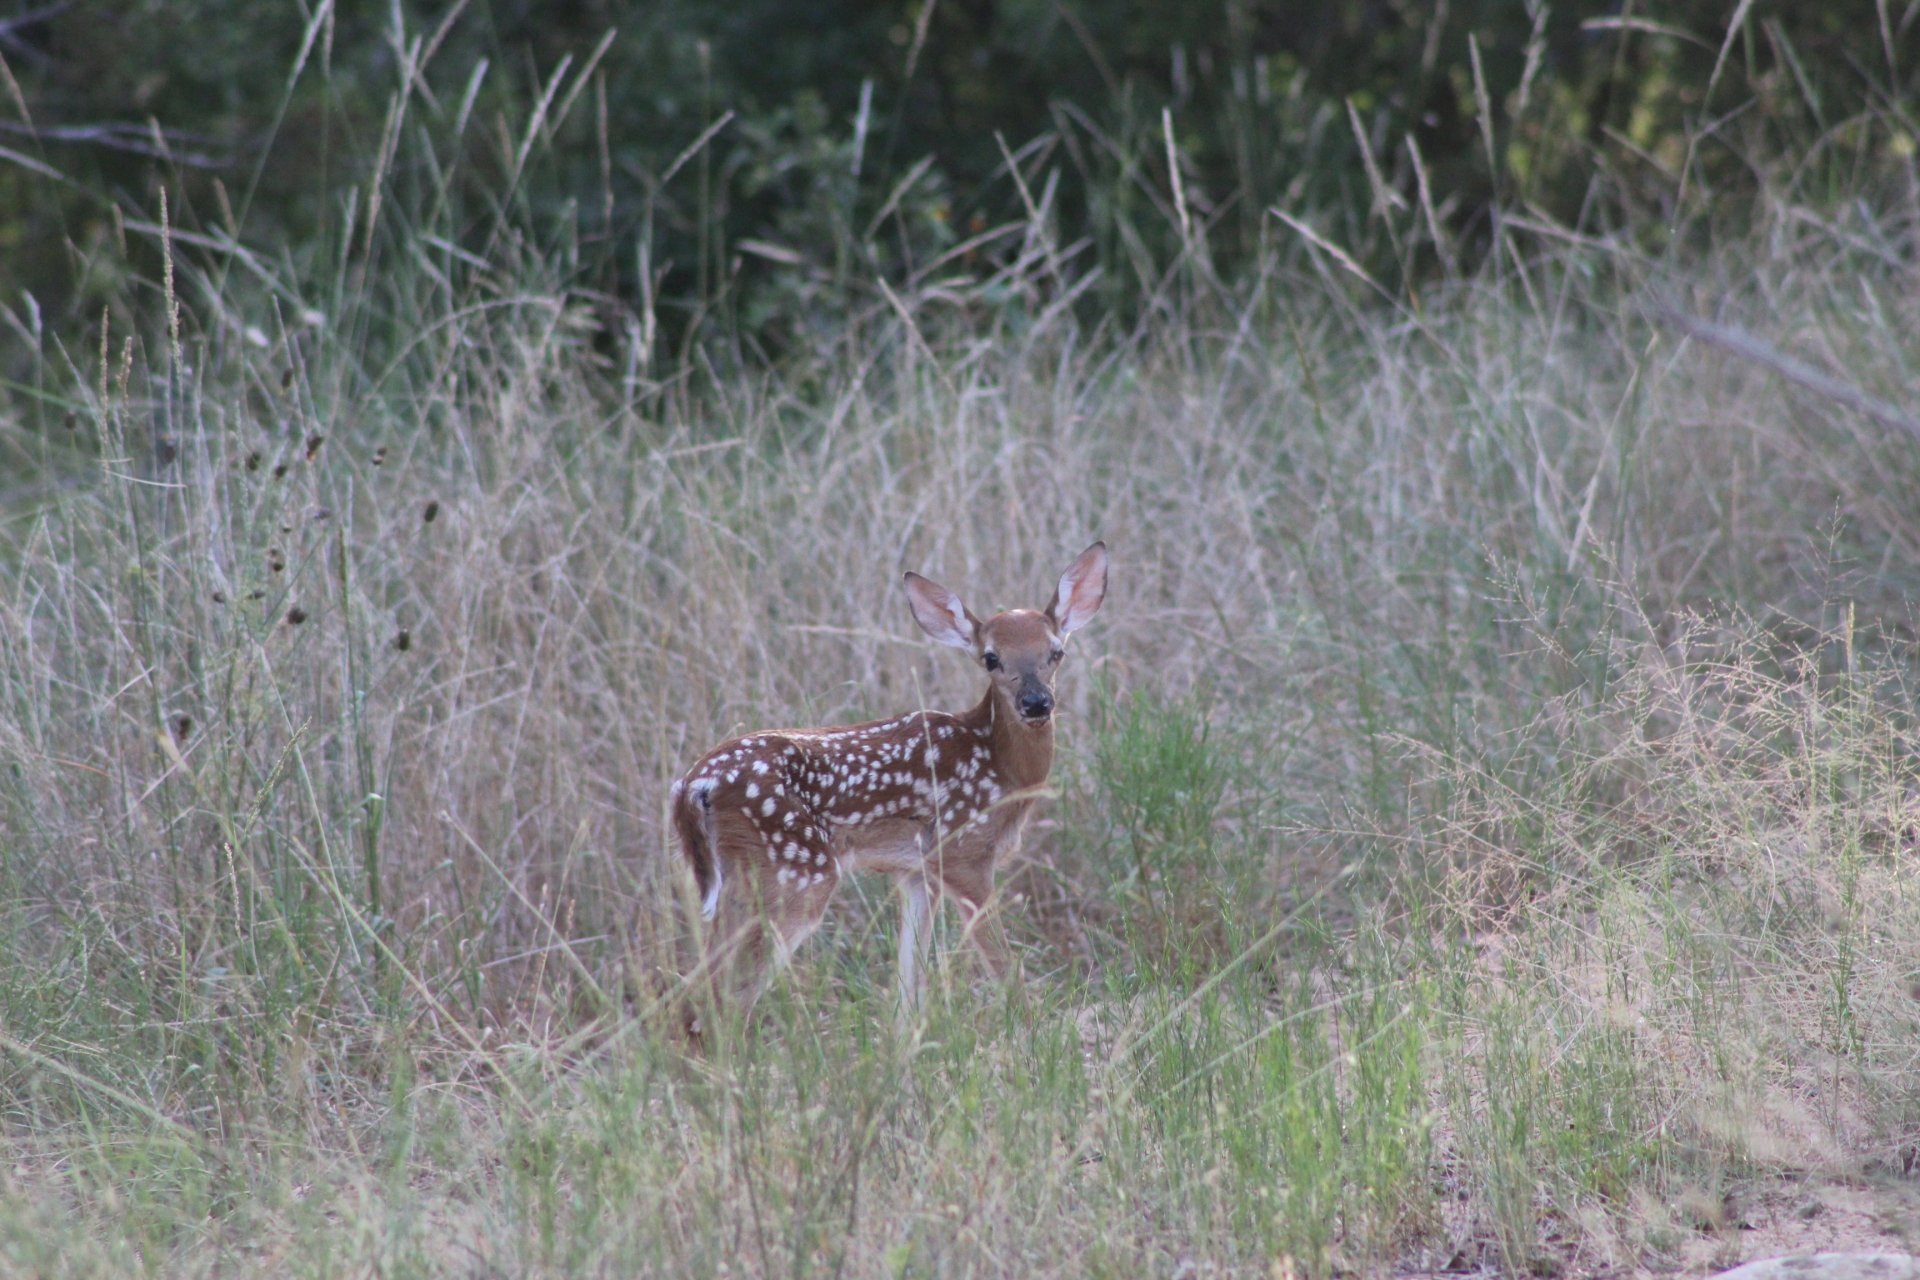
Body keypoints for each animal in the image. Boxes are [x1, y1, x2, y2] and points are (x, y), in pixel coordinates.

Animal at [669, 542, 1109, 1043]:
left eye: (1056, 652)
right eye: (991, 658)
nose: (1036, 703)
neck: (1000, 765)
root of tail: (693, 784)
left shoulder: (915, 870)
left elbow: (908, 988)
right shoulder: (962, 849)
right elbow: (1004, 966)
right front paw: (1034, 1040)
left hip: (747, 877)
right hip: (794, 870)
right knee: (715, 1004)